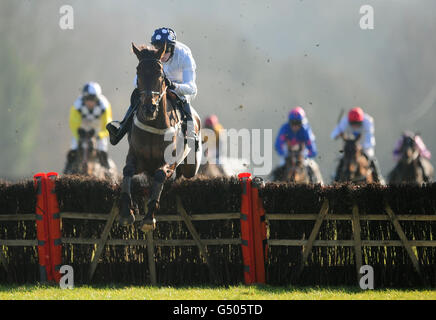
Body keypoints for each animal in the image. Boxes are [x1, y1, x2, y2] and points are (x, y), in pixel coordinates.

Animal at [118, 43, 202, 232]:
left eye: (160, 73)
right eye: (138, 71)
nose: (149, 108)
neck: (154, 126)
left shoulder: (169, 160)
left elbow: (160, 175)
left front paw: (149, 217)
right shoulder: (136, 157)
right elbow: (127, 171)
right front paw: (127, 212)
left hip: (191, 167)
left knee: (182, 173)